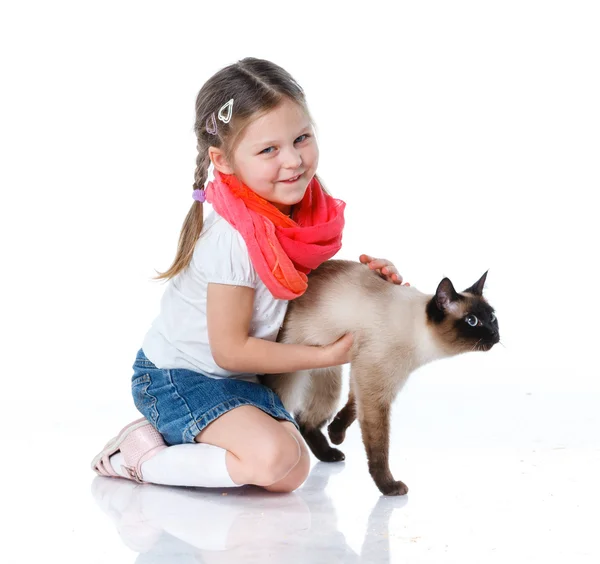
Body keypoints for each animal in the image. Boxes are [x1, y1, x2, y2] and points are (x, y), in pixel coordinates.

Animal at [260, 258, 500, 496]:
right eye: (472, 321)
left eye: (492, 317)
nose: (495, 335)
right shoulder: (374, 384)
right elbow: (379, 447)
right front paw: (389, 487)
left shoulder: (365, 374)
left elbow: (351, 407)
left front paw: (336, 433)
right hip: (290, 377)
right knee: (289, 413)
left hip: (328, 376)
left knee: (304, 421)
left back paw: (330, 453)